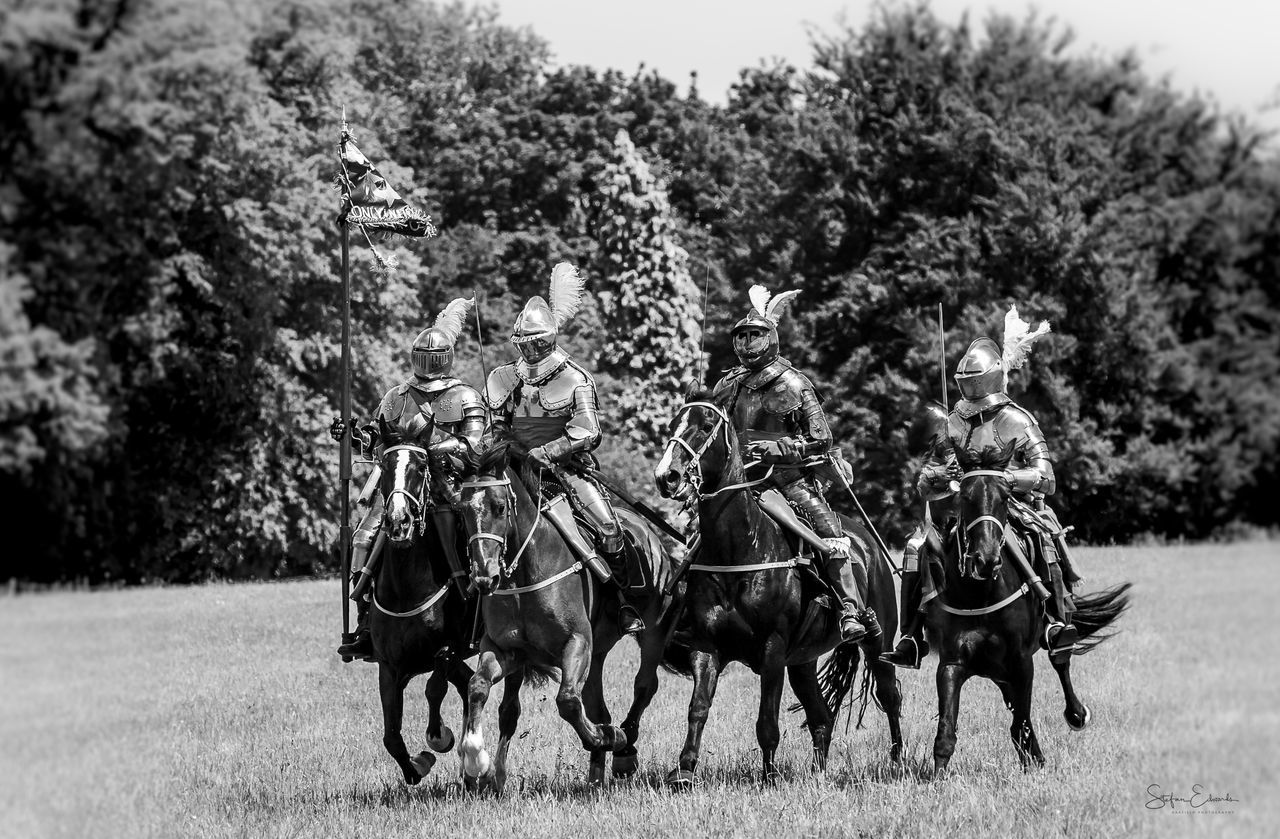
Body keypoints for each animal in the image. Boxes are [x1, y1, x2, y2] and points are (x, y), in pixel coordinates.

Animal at [363, 420, 478, 789]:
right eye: (385, 466)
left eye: (420, 465)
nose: (398, 521)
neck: (406, 587)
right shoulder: (388, 667)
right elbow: (391, 736)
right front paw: (418, 765)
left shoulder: (448, 649)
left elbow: (433, 688)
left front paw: (438, 737)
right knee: (469, 685)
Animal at [453, 440, 675, 794]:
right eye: (462, 512)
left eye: (499, 507)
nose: (485, 577)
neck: (526, 572)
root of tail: (648, 533)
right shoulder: (504, 650)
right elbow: (477, 687)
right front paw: (476, 762)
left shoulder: (576, 643)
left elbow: (567, 701)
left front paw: (609, 737)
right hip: (596, 655)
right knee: (595, 703)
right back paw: (596, 777)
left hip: (651, 632)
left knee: (644, 685)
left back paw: (623, 749)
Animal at [655, 394, 906, 789]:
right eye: (673, 424)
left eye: (707, 425)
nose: (667, 476)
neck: (740, 548)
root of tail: (869, 546)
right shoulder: (706, 648)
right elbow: (698, 709)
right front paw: (683, 770)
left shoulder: (772, 651)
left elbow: (766, 722)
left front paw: (769, 777)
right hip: (803, 661)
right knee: (822, 717)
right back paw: (819, 773)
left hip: (878, 641)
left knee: (889, 694)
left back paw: (897, 759)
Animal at [931, 440, 1131, 773]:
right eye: (966, 497)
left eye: (1004, 497)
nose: (985, 560)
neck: (981, 592)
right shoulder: (952, 662)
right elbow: (946, 729)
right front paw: (937, 778)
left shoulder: (1021, 661)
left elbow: (1020, 722)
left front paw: (1034, 763)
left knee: (1061, 662)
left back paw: (1076, 714)